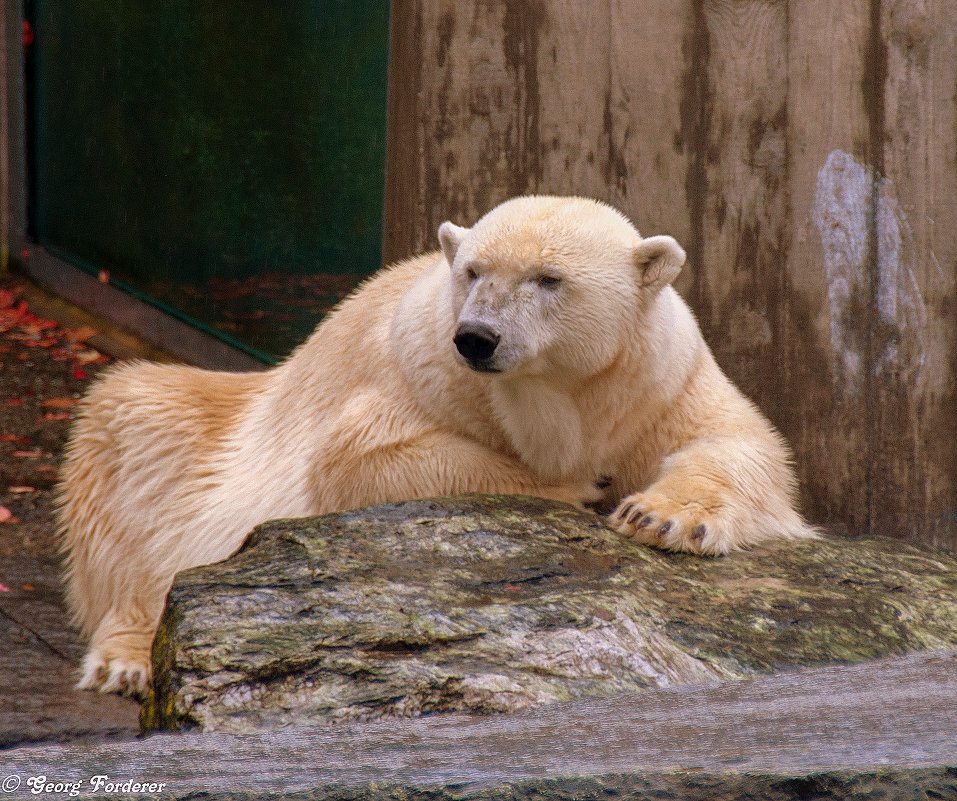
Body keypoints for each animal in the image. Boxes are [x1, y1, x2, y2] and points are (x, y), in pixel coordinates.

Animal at [56, 194, 816, 692]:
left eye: (549, 278)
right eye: (473, 271)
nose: (477, 337)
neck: (560, 397)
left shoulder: (657, 383)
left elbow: (740, 444)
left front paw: (659, 516)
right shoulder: (421, 371)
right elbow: (364, 461)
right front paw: (575, 485)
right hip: (193, 435)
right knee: (137, 473)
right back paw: (127, 658)